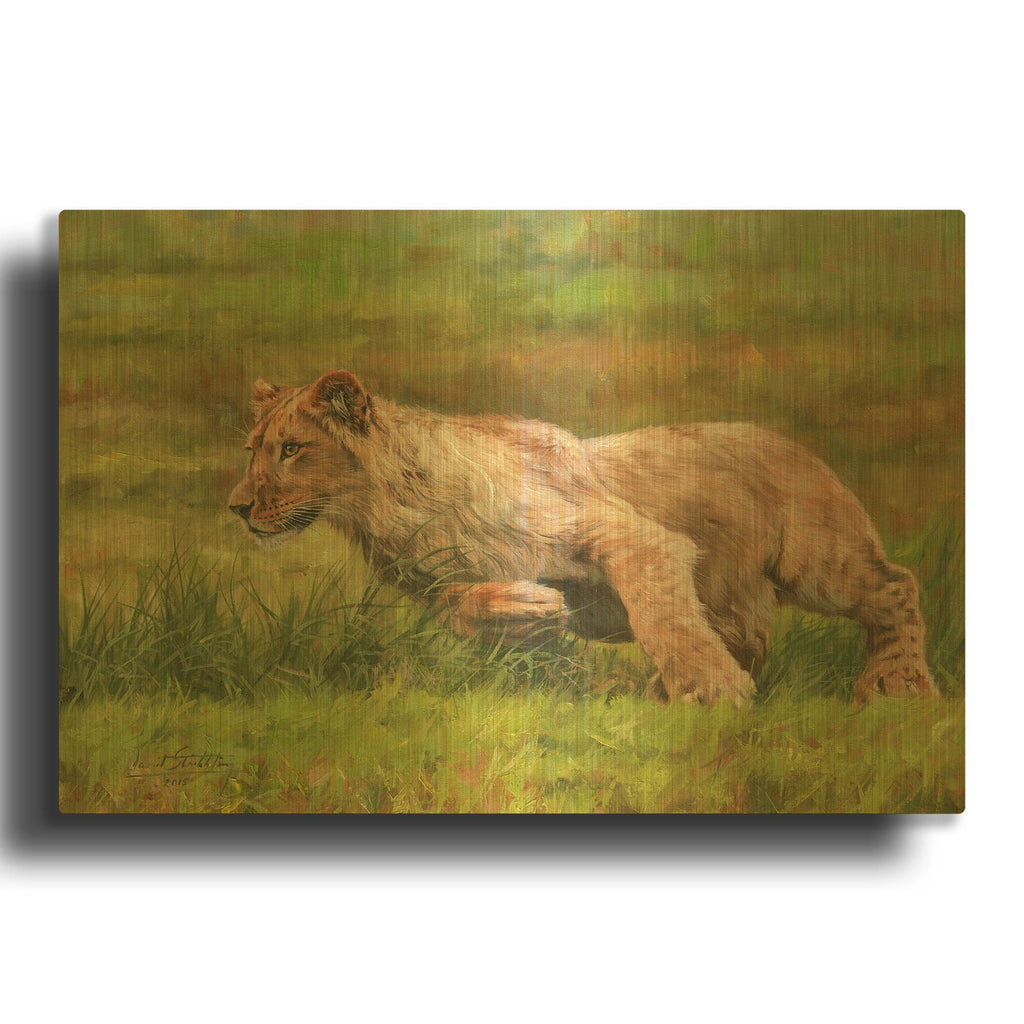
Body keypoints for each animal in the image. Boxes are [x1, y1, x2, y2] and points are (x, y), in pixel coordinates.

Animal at [228, 369, 939, 706]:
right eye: (251, 449)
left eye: (291, 449)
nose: (235, 508)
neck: (386, 512)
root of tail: (795, 443)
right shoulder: (438, 585)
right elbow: (462, 608)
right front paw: (534, 611)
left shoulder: (624, 530)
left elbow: (659, 614)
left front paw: (710, 691)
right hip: (739, 589)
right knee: (750, 634)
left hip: (818, 560)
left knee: (897, 588)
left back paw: (897, 687)